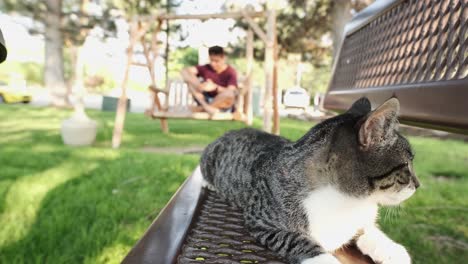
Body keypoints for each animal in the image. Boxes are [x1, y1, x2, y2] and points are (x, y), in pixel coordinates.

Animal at [201, 97, 420, 264]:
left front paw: (392, 250)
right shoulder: (260, 220)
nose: (418, 185)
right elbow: (295, 240)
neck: (348, 201)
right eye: (407, 165)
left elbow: (366, 229)